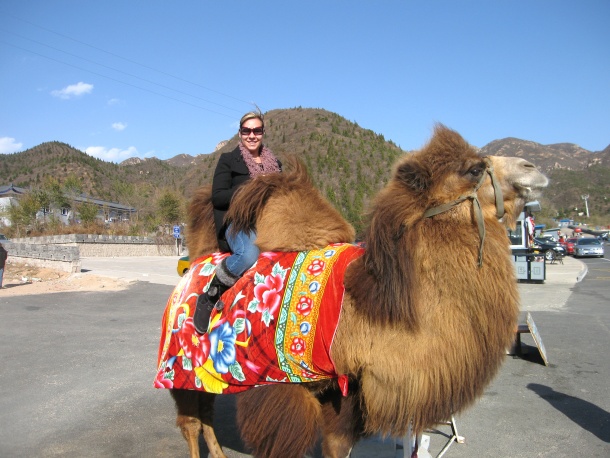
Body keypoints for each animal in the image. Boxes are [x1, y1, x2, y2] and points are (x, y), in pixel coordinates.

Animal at [160, 125, 548, 458]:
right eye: (473, 169)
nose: (533, 168)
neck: (369, 310)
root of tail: (192, 264)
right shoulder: (286, 385)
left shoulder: (346, 389)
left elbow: (338, 445)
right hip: (178, 366)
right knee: (191, 422)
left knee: (205, 416)